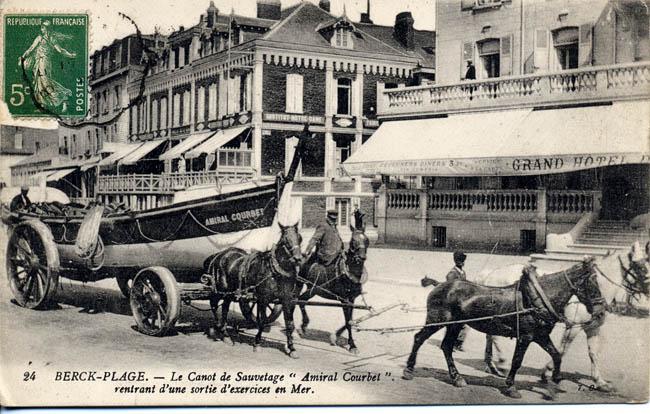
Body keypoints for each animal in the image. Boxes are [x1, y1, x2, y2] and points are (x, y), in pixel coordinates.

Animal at [205, 223, 304, 356]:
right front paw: (257, 343)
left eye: (300, 238)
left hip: (230, 292)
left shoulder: (287, 299)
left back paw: (225, 334)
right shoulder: (263, 299)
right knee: (214, 304)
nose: (298, 259)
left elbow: (290, 324)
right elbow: (262, 321)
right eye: (285, 240)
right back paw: (216, 327)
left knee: (225, 307)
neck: (275, 271)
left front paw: (292, 348)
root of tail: (218, 255)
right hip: (221, 289)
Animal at [294, 225, 370, 354]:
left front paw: (336, 336)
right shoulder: (344, 300)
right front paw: (352, 345)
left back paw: (304, 326)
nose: (361, 257)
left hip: (314, 289)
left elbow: (350, 320)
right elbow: (348, 322)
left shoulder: (351, 300)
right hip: (299, 283)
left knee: (302, 300)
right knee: (293, 301)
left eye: (367, 240)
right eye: (353, 241)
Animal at [400, 258, 604, 398]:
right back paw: (409, 370)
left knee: (446, 347)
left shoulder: (541, 336)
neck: (537, 298)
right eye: (592, 283)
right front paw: (511, 386)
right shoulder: (526, 337)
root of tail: (441, 284)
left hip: (454, 325)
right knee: (419, 338)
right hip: (437, 321)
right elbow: (517, 361)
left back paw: (457, 378)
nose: (600, 311)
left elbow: (557, 355)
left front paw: (553, 385)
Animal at [470, 243, 648, 392]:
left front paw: (600, 382)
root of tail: (491, 274)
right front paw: (548, 372)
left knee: (490, 335)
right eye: (640, 265)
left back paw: (492, 365)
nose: (647, 289)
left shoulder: (593, 328)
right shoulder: (573, 327)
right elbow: (562, 350)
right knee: (494, 337)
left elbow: (593, 354)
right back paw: (500, 362)